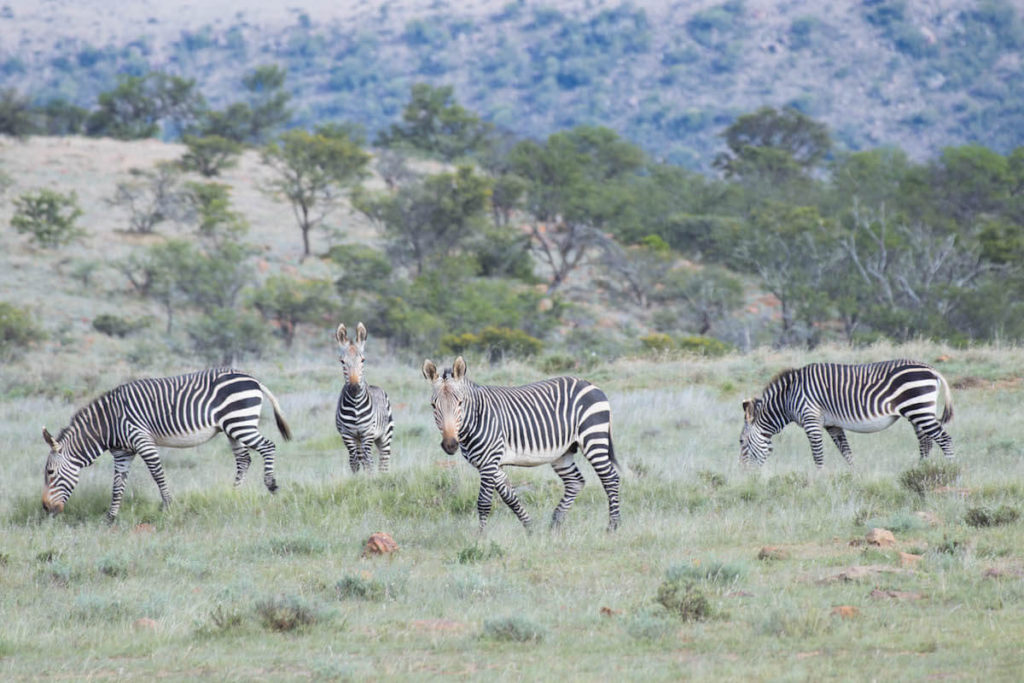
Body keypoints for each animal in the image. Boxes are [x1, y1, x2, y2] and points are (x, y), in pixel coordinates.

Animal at [41, 368, 290, 524]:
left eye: (50, 472)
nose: (45, 508)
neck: (108, 424)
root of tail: (253, 379)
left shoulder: (142, 440)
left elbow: (157, 474)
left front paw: (168, 506)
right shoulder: (123, 453)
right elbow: (117, 485)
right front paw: (110, 517)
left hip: (240, 422)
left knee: (268, 446)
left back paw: (271, 484)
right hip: (232, 428)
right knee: (244, 459)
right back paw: (232, 494)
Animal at [335, 321, 391, 473]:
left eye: (363, 360)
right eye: (342, 361)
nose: (354, 388)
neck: (355, 405)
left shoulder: (368, 432)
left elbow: (369, 460)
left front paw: (371, 478)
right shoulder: (347, 434)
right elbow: (354, 462)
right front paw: (359, 478)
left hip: (385, 435)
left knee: (383, 460)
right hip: (358, 438)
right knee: (361, 458)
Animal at [419, 358, 618, 532]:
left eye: (460, 403)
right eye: (433, 405)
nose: (450, 445)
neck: (475, 418)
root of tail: (589, 384)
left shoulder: (489, 462)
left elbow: (483, 502)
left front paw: (480, 538)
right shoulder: (492, 464)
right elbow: (509, 498)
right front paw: (530, 528)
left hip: (593, 437)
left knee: (610, 478)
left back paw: (613, 527)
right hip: (563, 453)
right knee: (575, 482)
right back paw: (555, 524)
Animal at [741, 358, 954, 471]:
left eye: (741, 442)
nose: (744, 474)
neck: (788, 397)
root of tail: (931, 369)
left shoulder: (811, 420)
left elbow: (817, 454)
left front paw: (818, 479)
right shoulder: (832, 424)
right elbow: (846, 452)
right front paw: (854, 475)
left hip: (918, 408)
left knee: (944, 439)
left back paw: (953, 470)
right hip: (918, 412)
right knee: (926, 442)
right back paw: (920, 469)